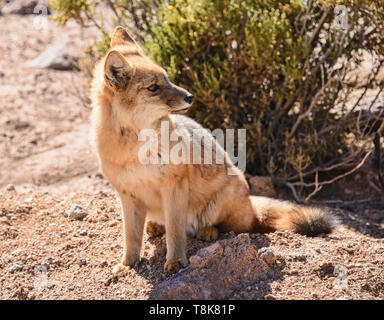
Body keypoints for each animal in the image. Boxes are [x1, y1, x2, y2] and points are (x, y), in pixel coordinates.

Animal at [89, 26, 336, 274]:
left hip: (221, 201)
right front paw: (127, 265)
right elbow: (131, 237)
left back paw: (208, 231)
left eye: (167, 78)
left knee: (225, 227)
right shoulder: (127, 194)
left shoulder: (174, 186)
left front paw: (175, 261)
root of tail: (251, 205)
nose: (190, 96)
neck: (135, 151)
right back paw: (156, 225)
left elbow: (175, 231)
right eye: (153, 88)